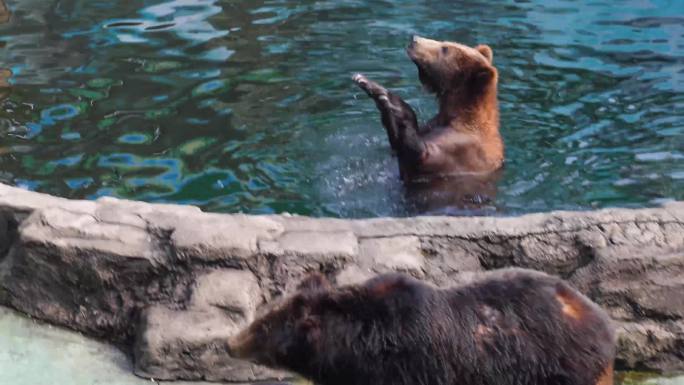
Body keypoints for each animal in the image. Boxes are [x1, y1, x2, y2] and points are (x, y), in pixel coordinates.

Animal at [352, 36, 502, 180]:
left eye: (445, 48)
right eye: (445, 43)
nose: (414, 39)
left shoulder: (462, 150)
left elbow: (419, 153)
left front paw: (384, 95)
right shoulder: (432, 126)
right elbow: (397, 146)